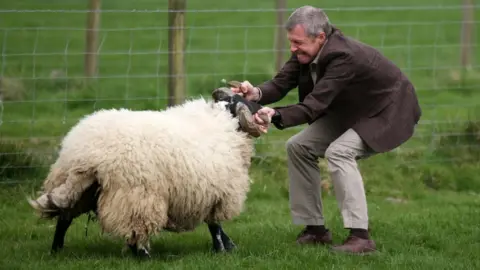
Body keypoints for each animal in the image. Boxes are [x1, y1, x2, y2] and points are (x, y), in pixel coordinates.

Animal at [28, 87, 268, 258]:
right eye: (244, 101)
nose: (262, 109)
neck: (222, 123)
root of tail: (87, 156)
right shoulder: (215, 193)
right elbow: (215, 226)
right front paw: (222, 249)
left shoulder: (207, 193)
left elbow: (215, 226)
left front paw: (230, 246)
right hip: (137, 195)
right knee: (136, 230)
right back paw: (144, 256)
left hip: (77, 189)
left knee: (64, 219)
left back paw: (56, 251)